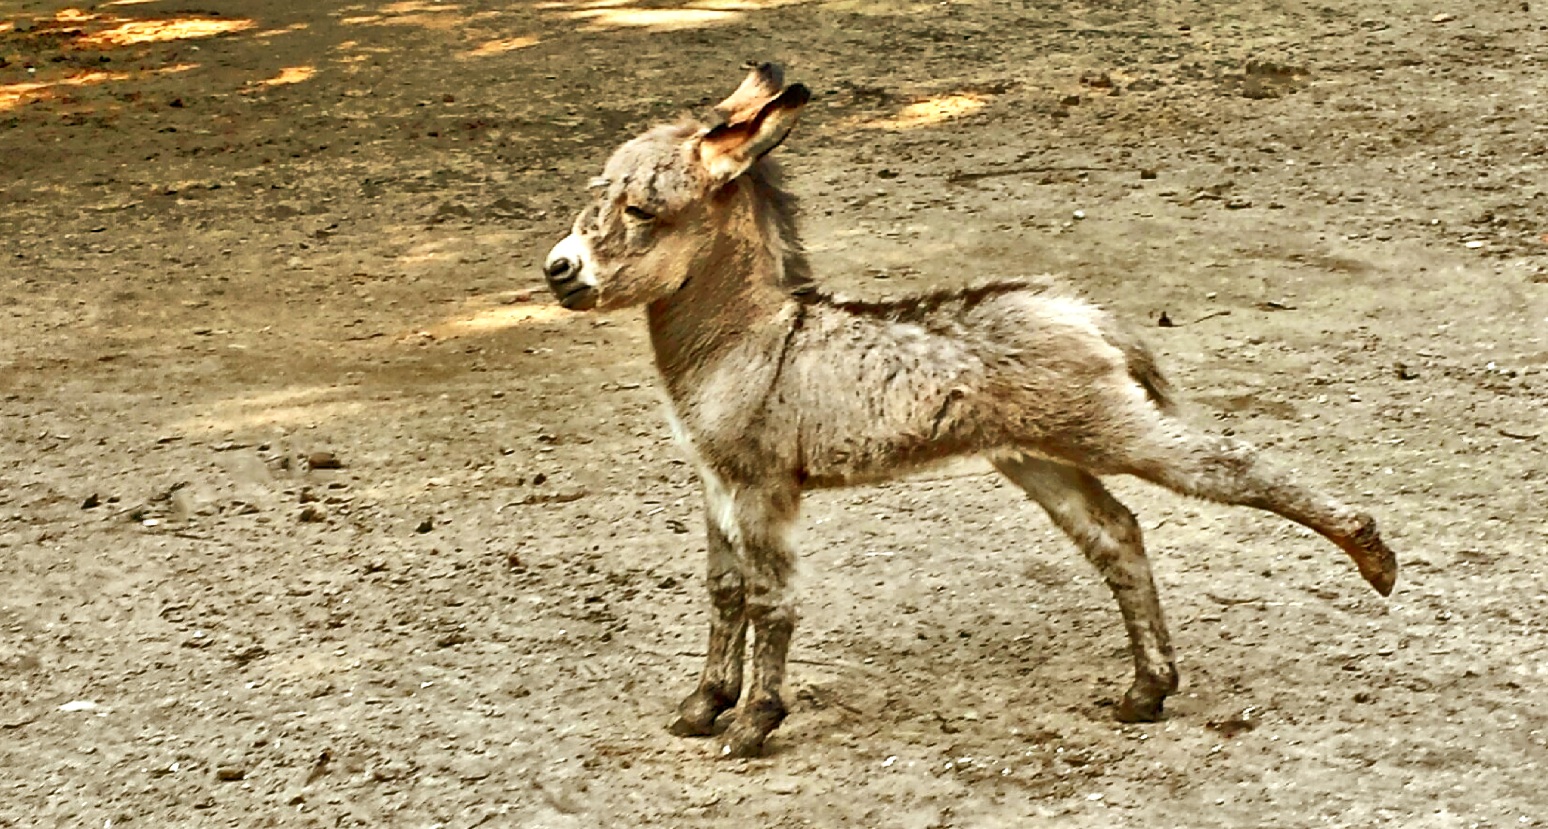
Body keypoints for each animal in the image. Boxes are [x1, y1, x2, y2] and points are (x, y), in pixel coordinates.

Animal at [538, 68, 1399, 760]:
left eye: (643, 210)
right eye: (594, 197)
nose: (558, 270)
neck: (754, 337)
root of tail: (1080, 309)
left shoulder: (761, 487)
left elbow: (767, 600)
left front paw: (753, 722)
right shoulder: (715, 482)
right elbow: (721, 590)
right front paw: (702, 706)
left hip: (1106, 426)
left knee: (1229, 463)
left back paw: (1373, 555)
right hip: (1038, 455)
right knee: (1117, 534)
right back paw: (1147, 689)